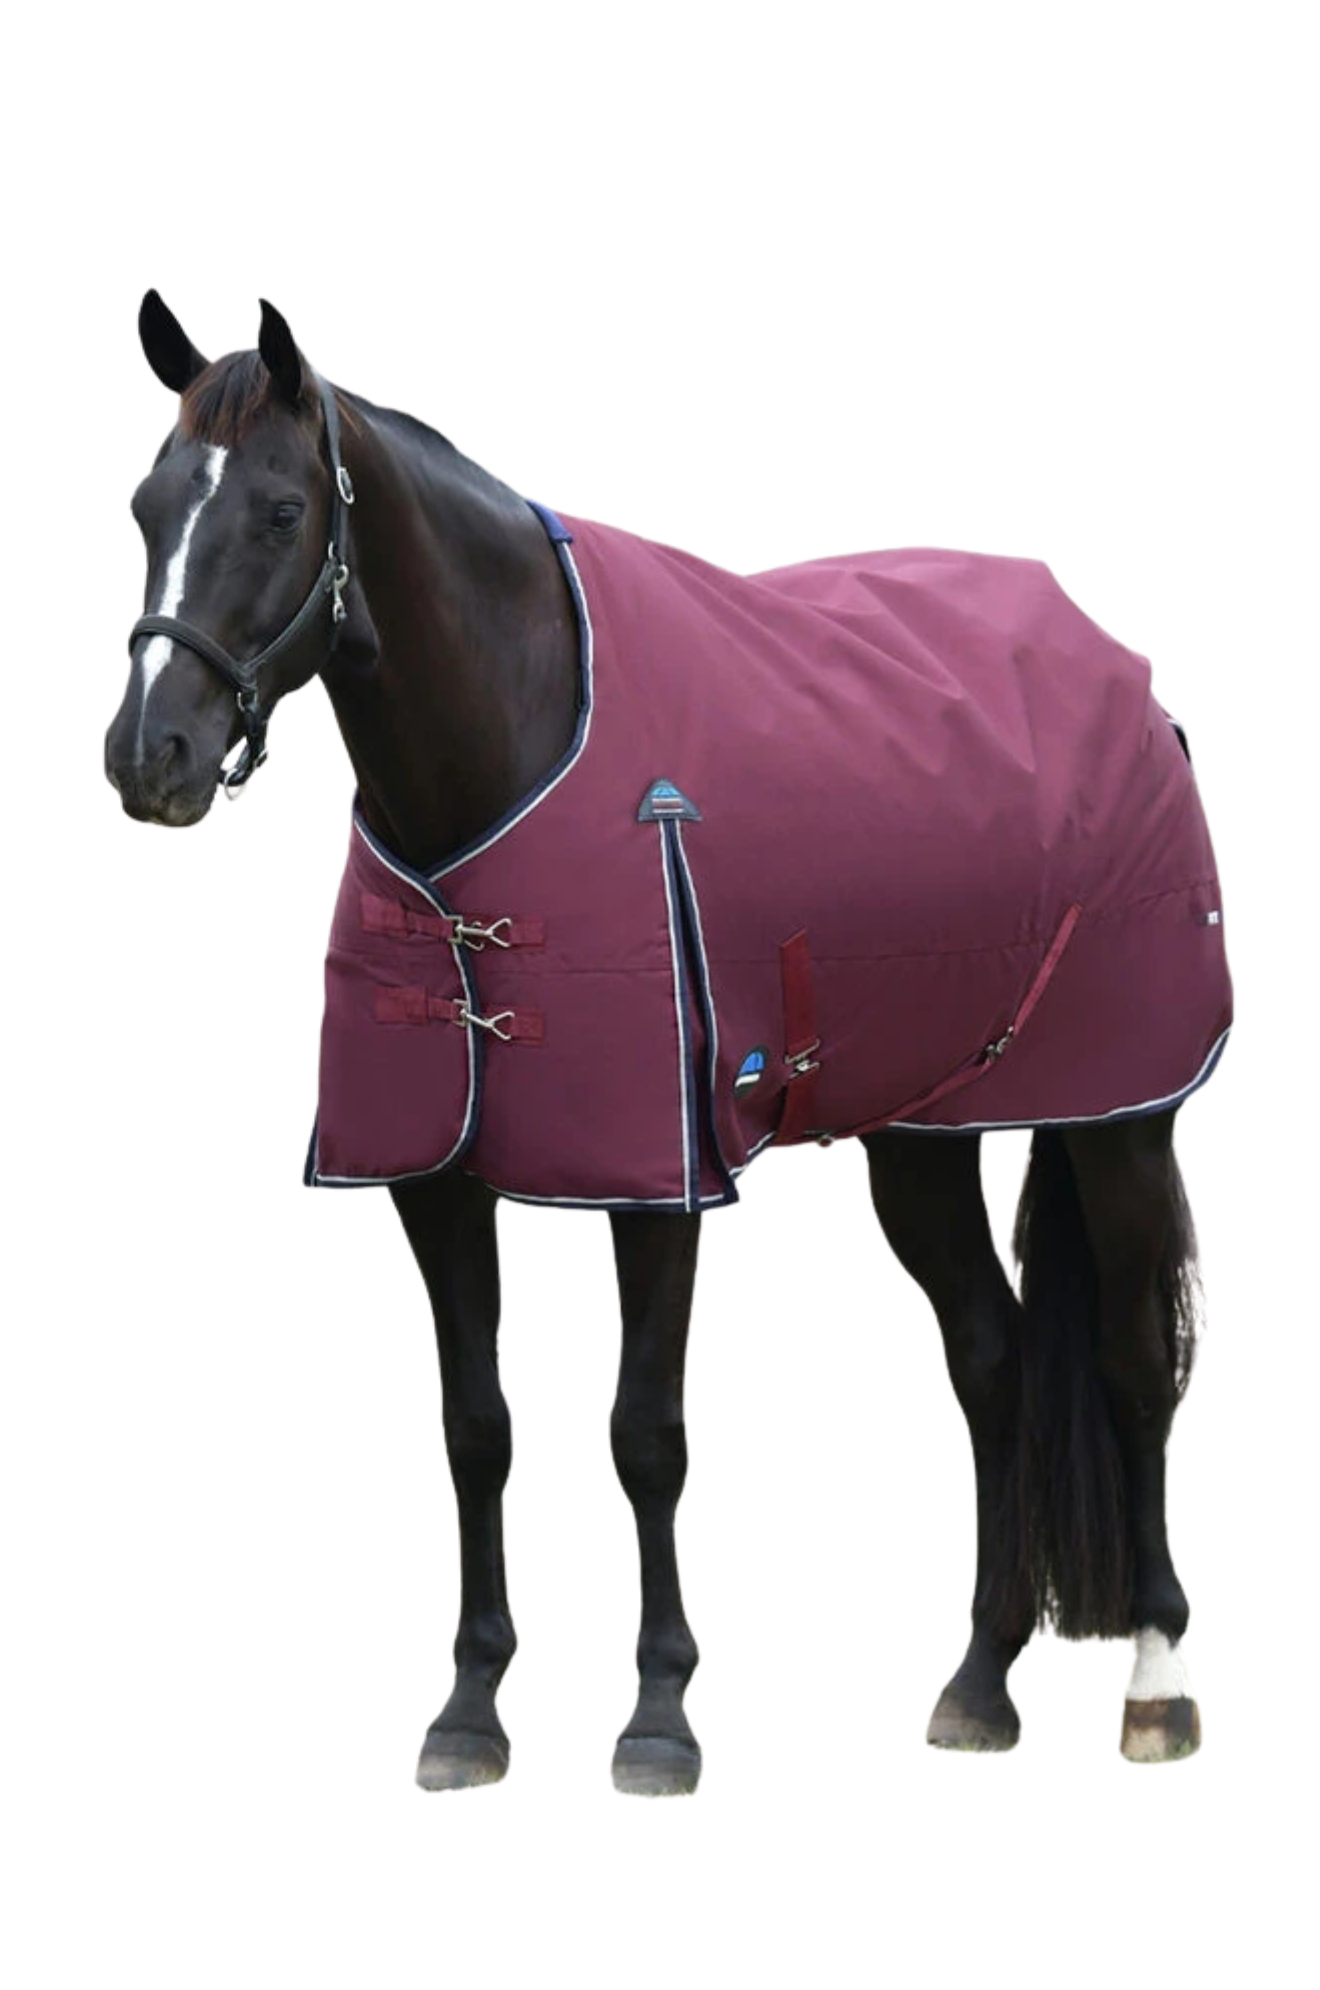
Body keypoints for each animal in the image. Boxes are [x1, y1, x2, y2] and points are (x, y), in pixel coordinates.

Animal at [105, 290, 1229, 1796]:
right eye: (147, 504)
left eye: (284, 509)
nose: (149, 756)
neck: (513, 747)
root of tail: (1118, 667)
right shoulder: (432, 1180)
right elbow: (479, 1424)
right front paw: (469, 1712)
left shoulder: (661, 1173)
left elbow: (644, 1429)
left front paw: (654, 1718)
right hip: (924, 1137)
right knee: (992, 1365)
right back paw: (980, 1683)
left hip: (1121, 1118)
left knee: (1132, 1352)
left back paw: (1158, 1681)